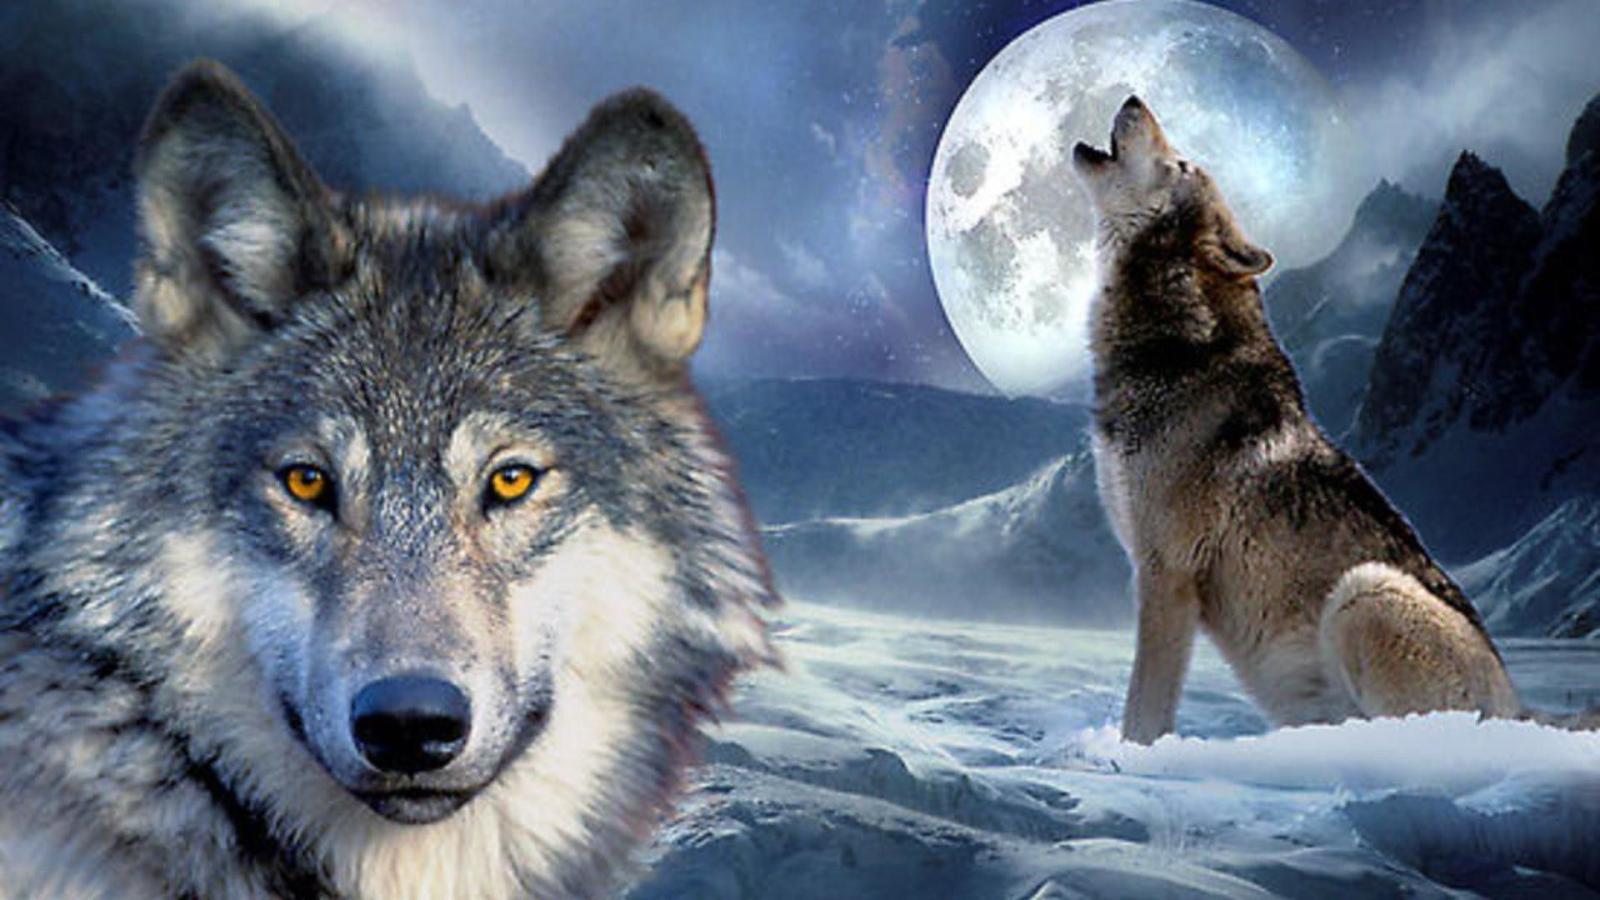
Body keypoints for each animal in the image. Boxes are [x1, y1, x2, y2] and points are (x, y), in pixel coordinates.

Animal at [1071, 96, 1521, 745]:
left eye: (1181, 165)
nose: (1133, 98)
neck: (1176, 349)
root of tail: (1522, 711)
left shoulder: (1166, 575)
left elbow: (1145, 711)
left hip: (1365, 590)